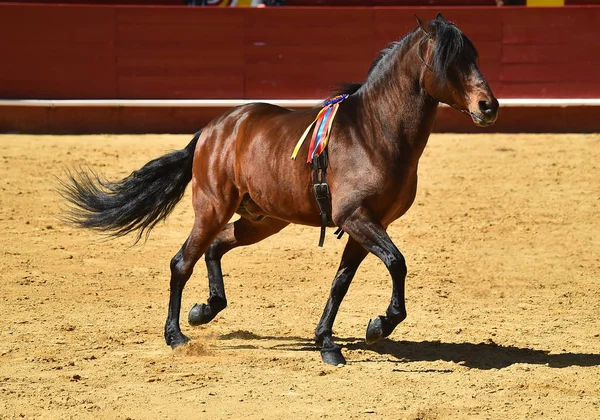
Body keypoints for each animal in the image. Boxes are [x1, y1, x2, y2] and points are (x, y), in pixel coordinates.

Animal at [61, 13, 500, 364]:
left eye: (475, 57)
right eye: (450, 61)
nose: (488, 106)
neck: (375, 131)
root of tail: (214, 129)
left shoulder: (367, 224)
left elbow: (342, 281)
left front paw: (328, 343)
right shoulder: (357, 218)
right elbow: (396, 262)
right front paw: (378, 325)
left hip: (262, 219)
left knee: (216, 246)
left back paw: (206, 310)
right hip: (212, 206)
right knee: (182, 260)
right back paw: (176, 335)